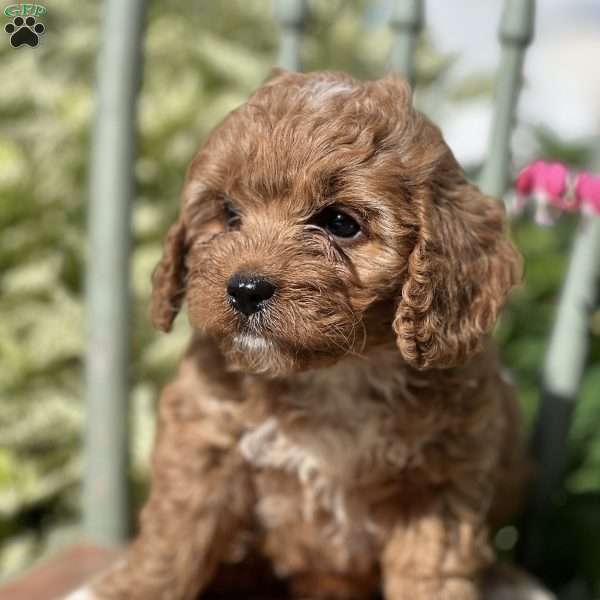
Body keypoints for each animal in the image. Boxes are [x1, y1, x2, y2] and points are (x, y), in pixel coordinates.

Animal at [85, 71, 528, 600]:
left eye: (340, 223)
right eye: (229, 214)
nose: (245, 289)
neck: (335, 372)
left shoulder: (440, 479)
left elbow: (431, 573)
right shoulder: (204, 438)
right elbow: (171, 541)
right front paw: (133, 588)